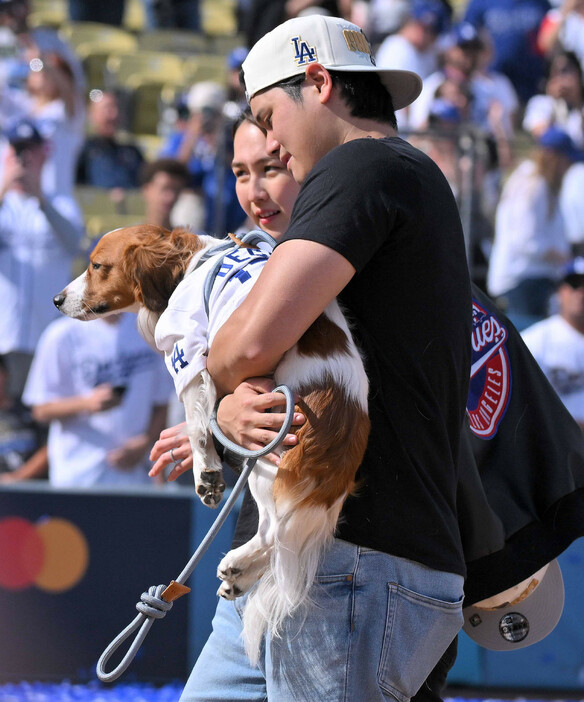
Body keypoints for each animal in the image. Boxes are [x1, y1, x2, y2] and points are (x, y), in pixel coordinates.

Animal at [52, 227, 368, 664]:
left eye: (97, 265)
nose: (56, 299)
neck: (189, 264)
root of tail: (344, 425)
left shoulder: (187, 354)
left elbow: (197, 424)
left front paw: (206, 474)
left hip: (269, 459)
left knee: (274, 530)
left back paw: (237, 563)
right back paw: (240, 577)